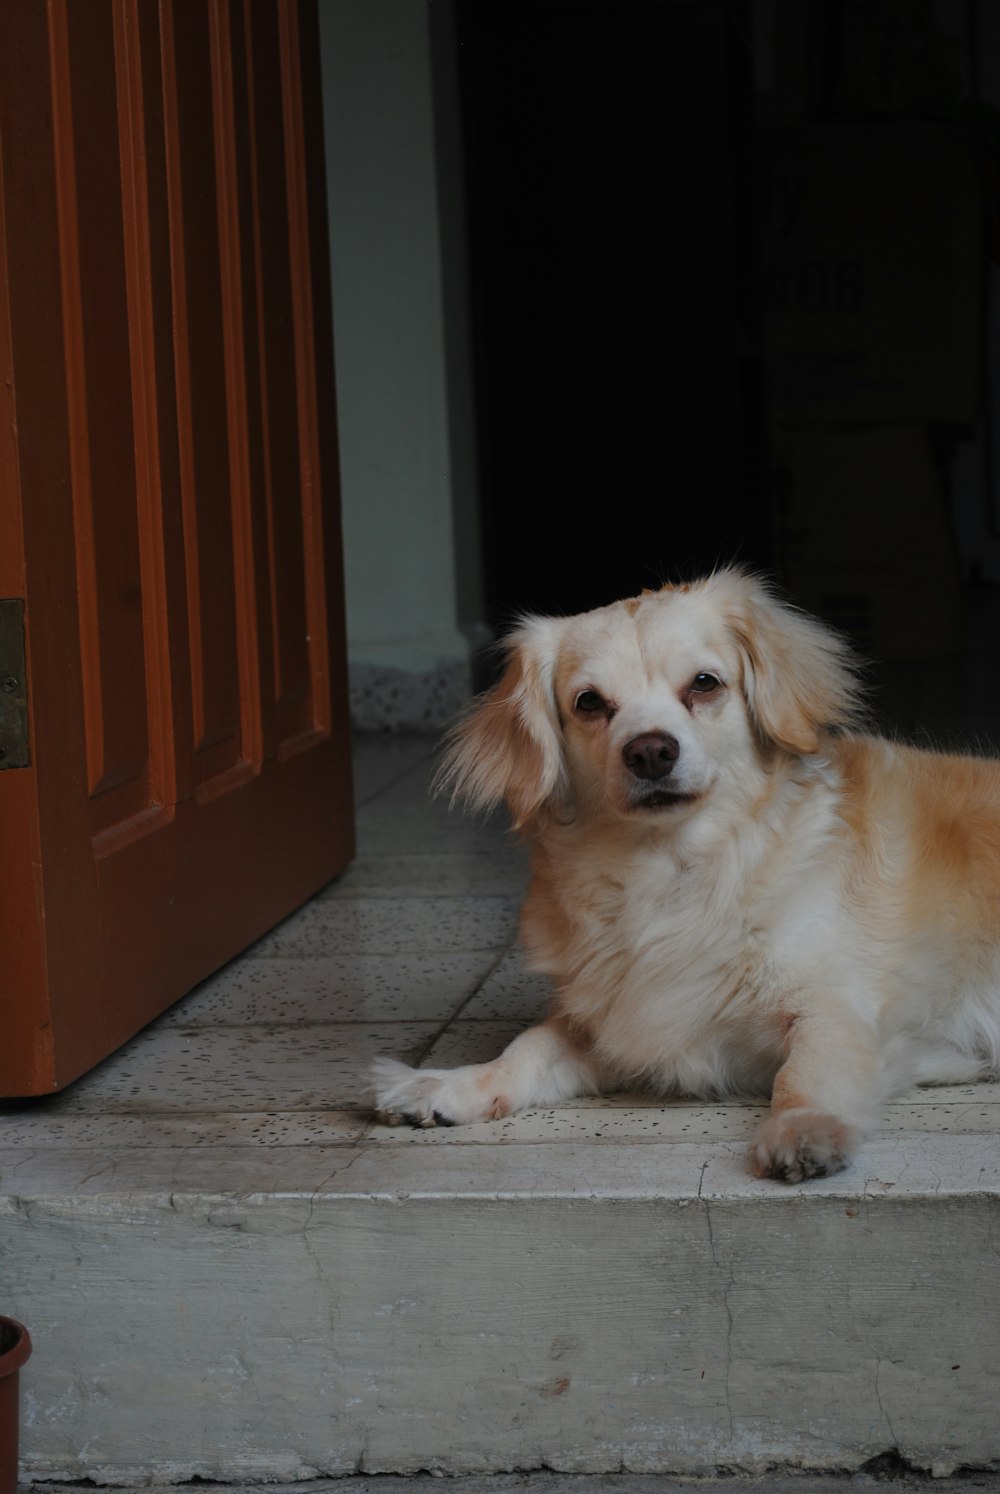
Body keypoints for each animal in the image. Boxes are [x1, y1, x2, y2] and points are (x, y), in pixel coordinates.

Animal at [370, 567, 998, 1177]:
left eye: (704, 684)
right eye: (589, 702)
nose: (650, 750)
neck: (675, 874)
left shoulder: (832, 1006)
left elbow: (804, 1076)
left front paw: (802, 1131)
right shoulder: (612, 1025)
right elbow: (527, 1049)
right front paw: (447, 1086)